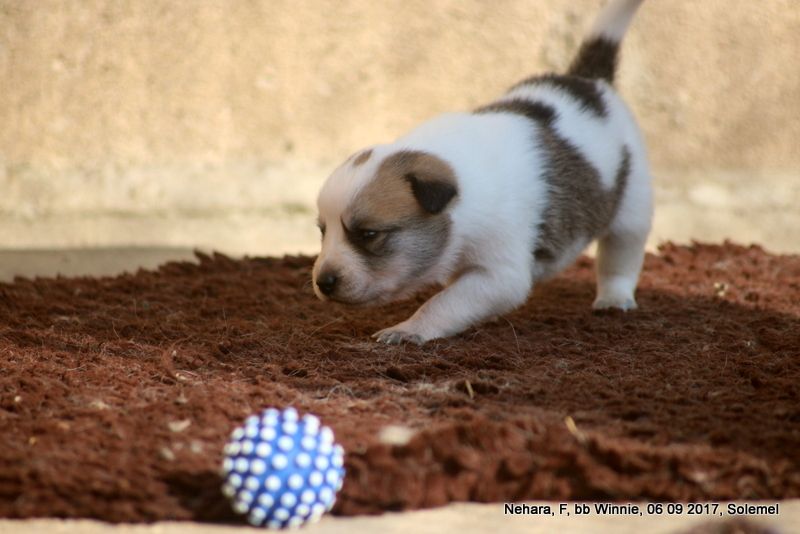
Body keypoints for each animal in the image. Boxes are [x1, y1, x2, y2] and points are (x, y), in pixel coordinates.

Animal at [312, 0, 652, 345]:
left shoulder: (499, 274)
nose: (323, 282)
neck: (460, 200)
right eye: (322, 231)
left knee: (620, 256)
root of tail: (590, 81)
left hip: (632, 205)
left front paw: (408, 329)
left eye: (369, 234)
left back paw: (613, 298)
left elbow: (443, 303)